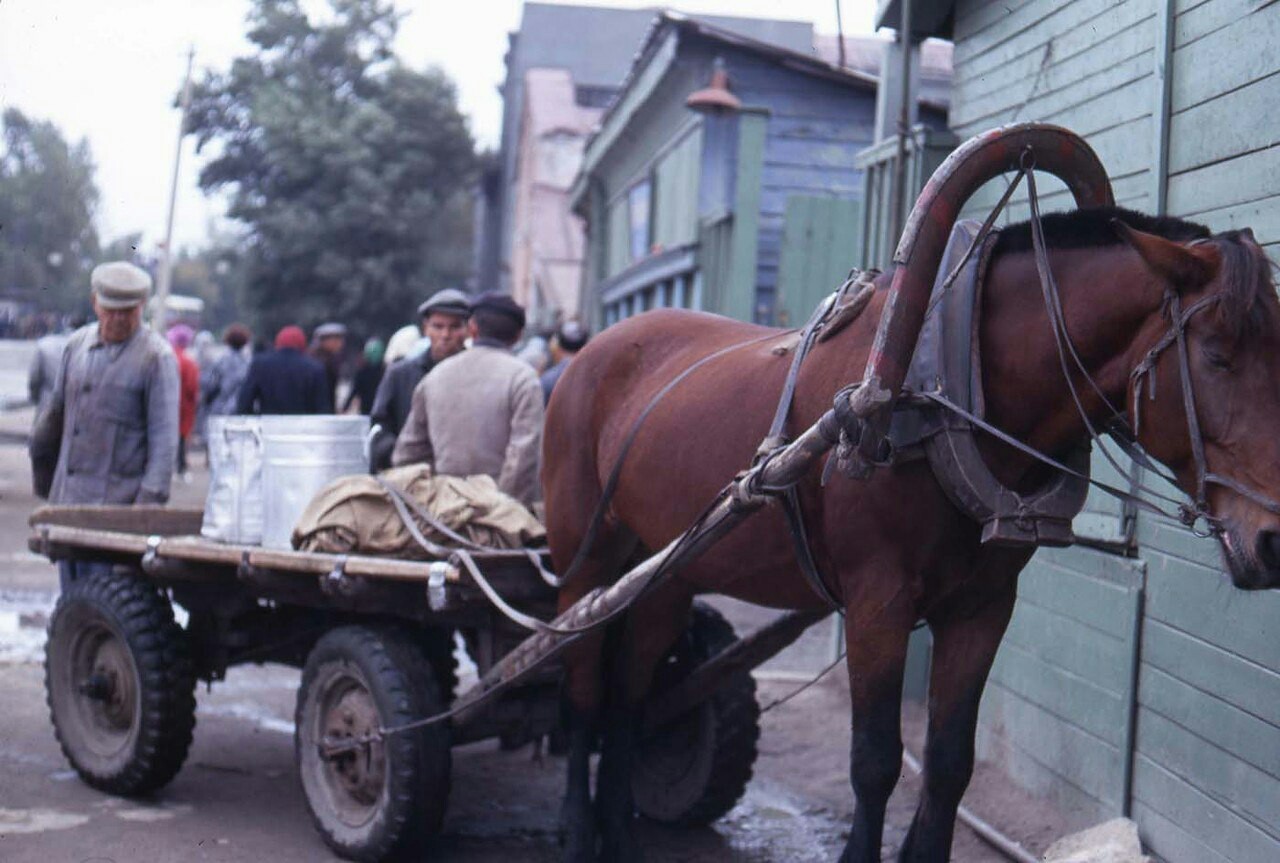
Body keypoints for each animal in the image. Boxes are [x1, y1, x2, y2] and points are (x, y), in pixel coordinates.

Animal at [545, 203, 1280, 860]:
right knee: (580, 686)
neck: (946, 390)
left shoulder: (983, 606)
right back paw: (578, 830)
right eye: (1216, 356)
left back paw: (619, 833)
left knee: (628, 695)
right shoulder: (879, 603)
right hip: (586, 563)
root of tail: (593, 351)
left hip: (664, 571)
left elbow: (950, 761)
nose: (1273, 539)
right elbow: (875, 761)